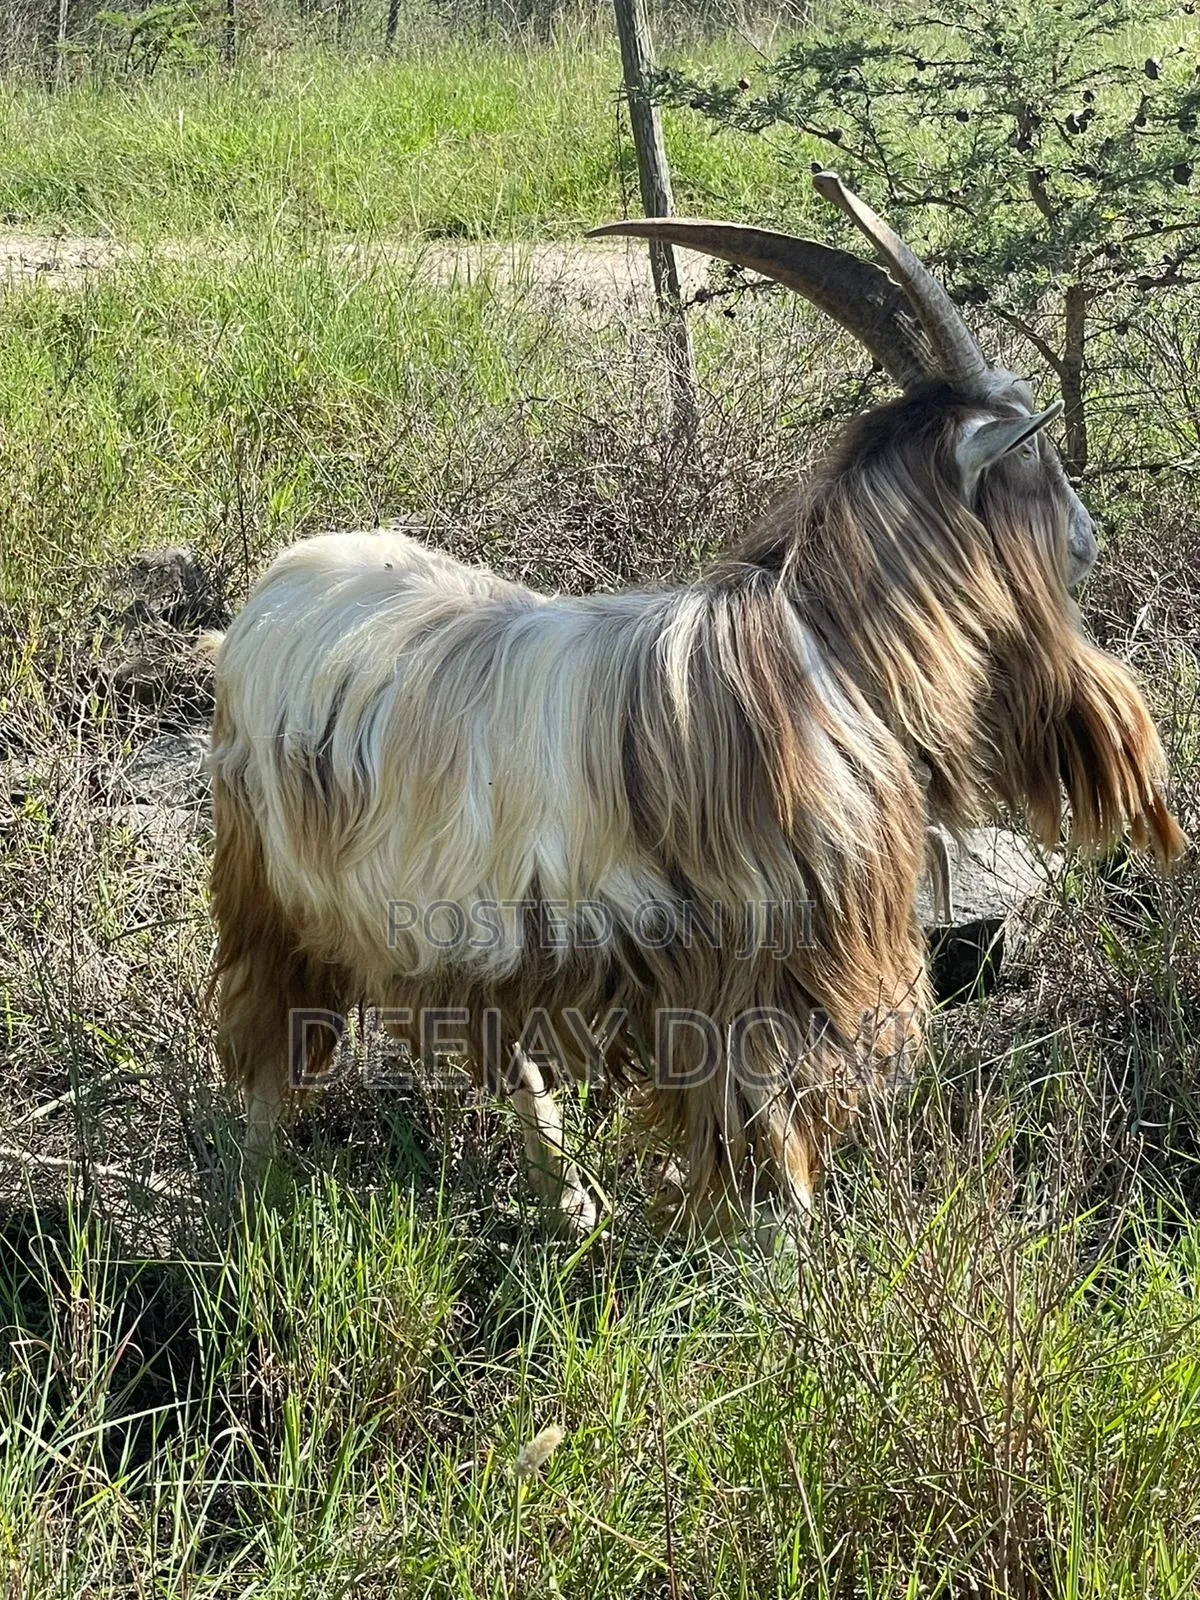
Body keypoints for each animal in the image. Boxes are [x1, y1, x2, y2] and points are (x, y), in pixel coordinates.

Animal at [206, 172, 1185, 1233]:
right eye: (1035, 461)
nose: (1089, 538)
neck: (831, 652)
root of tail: (276, 590)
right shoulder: (758, 975)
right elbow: (769, 1131)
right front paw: (793, 1258)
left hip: (468, 937)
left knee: (502, 1049)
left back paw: (570, 1202)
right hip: (271, 886)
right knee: (267, 1044)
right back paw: (258, 1198)